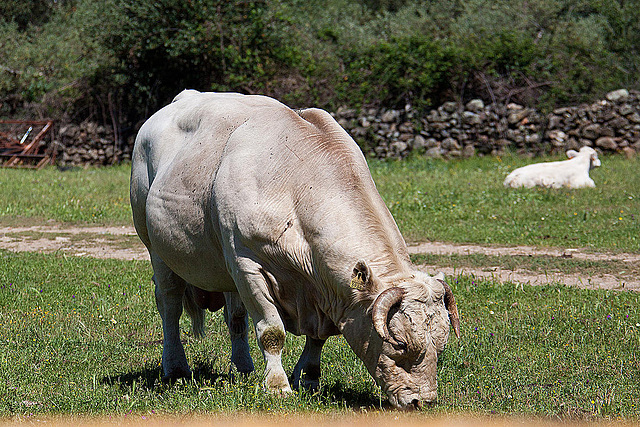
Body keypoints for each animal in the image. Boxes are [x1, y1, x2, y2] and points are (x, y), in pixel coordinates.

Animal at [130, 91, 460, 412]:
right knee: (170, 306)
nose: (422, 401)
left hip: (224, 267)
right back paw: (176, 368)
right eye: (400, 344)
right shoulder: (247, 265)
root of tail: (182, 98)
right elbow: (271, 332)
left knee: (235, 317)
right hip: (157, 249)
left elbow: (317, 339)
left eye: (441, 346)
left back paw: (243, 368)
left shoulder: (319, 290)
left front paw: (309, 379)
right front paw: (278, 386)